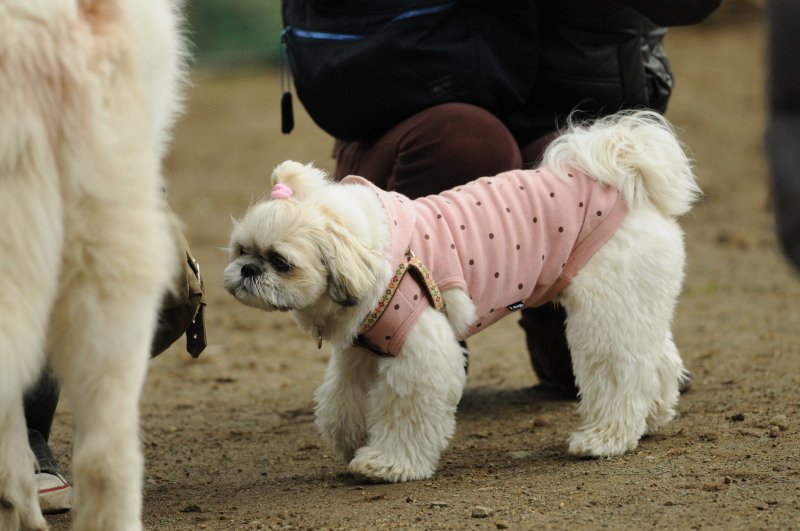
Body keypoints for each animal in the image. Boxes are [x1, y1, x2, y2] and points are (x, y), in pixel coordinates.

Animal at [223, 110, 700, 484]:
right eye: (241, 251)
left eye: (280, 261)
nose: (248, 271)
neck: (377, 254)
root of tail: (622, 182)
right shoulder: (362, 350)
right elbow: (341, 401)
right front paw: (351, 440)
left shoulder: (421, 353)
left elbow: (406, 413)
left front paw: (386, 463)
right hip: (630, 302)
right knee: (655, 358)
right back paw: (651, 418)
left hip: (606, 314)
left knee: (620, 371)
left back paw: (604, 439)